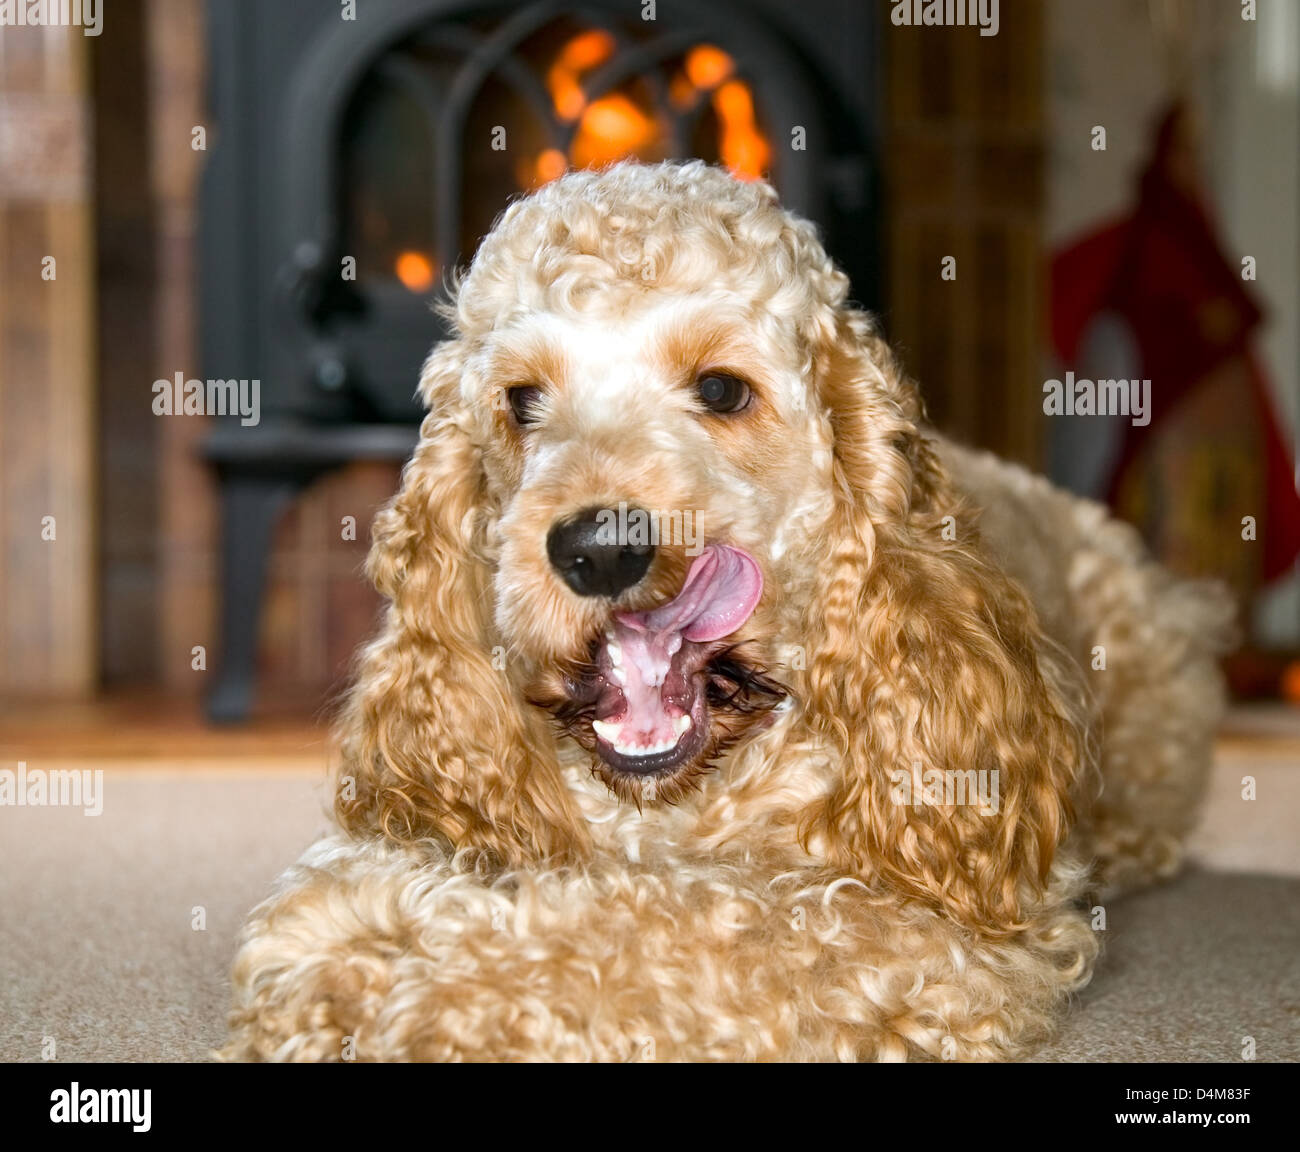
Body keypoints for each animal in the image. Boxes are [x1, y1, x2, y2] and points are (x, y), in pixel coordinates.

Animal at [218, 162, 1232, 1066]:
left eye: (720, 390)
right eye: (521, 402)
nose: (599, 549)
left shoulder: (911, 929)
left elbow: (670, 929)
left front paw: (448, 989)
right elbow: (322, 909)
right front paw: (364, 947)